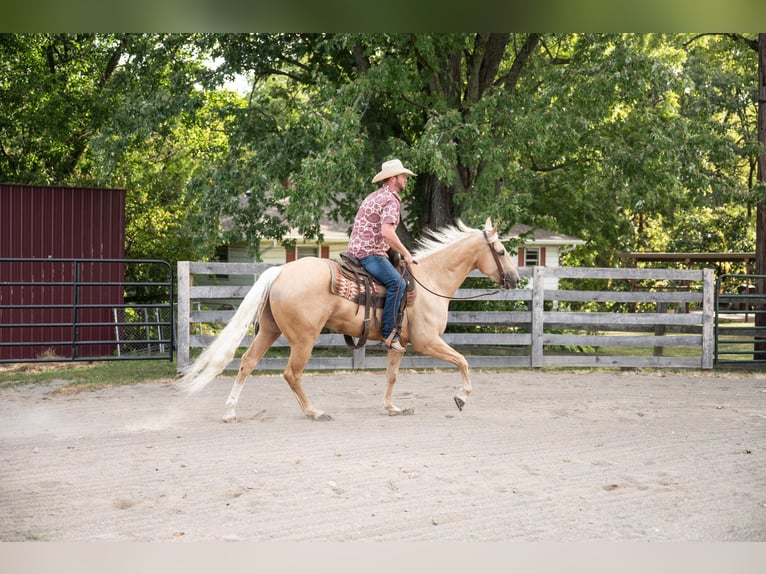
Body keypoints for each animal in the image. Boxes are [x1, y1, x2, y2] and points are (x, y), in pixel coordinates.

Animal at [177, 217, 520, 424]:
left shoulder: (398, 345)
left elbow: (392, 376)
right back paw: (314, 412)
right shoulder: (427, 342)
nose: (516, 280)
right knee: (291, 374)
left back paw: (230, 412)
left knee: (247, 362)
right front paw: (461, 397)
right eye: (502, 251)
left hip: (270, 331)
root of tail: (281, 271)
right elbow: (463, 361)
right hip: (304, 338)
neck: (430, 281)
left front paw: (391, 407)